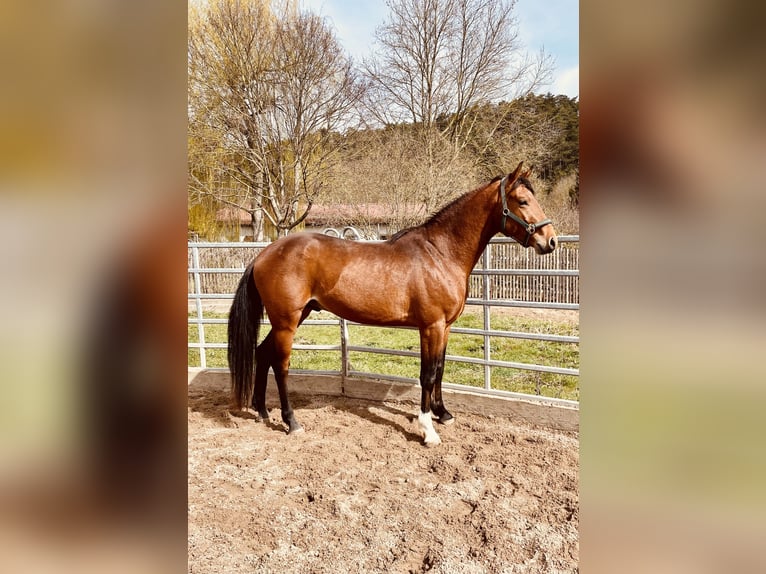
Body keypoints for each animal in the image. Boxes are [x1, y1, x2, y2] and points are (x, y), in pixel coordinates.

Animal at [228, 164, 560, 448]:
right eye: (522, 200)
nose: (551, 241)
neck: (440, 253)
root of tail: (265, 254)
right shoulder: (431, 327)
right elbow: (427, 375)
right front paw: (428, 430)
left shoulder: (445, 328)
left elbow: (440, 370)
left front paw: (444, 414)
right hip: (287, 322)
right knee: (280, 365)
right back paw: (291, 422)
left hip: (292, 318)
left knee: (262, 353)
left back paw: (262, 411)